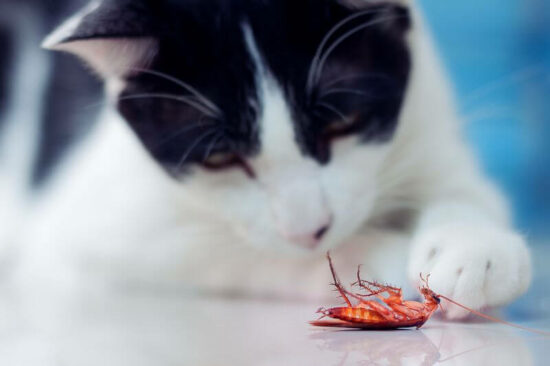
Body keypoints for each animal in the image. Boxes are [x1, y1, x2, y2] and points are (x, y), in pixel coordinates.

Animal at [9, 0, 536, 318]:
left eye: (342, 123)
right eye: (221, 157)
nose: (310, 229)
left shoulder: (425, 117)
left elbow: (460, 184)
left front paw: (475, 248)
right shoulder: (88, 225)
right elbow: (225, 253)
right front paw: (385, 257)